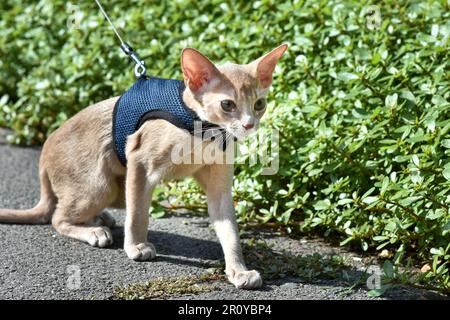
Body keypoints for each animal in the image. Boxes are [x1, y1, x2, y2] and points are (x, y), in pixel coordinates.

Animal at [0, 43, 288, 290]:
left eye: (259, 104)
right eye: (227, 104)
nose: (249, 124)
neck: (201, 131)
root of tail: (44, 151)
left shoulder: (220, 188)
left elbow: (230, 231)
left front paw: (239, 270)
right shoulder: (138, 161)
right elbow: (138, 213)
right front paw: (136, 246)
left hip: (113, 190)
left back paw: (99, 219)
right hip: (100, 186)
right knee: (56, 218)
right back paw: (94, 231)